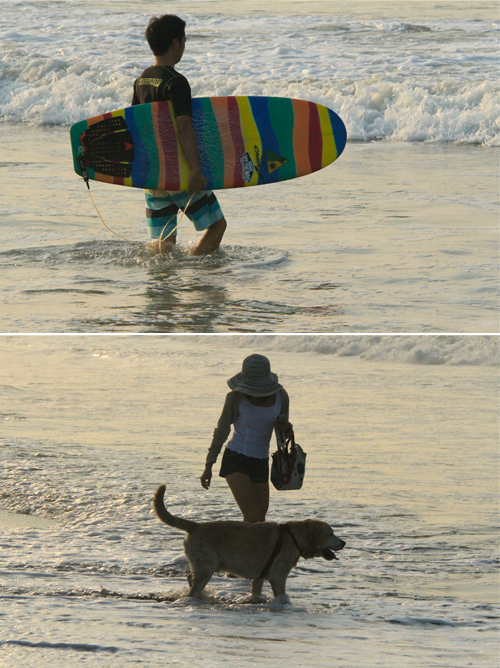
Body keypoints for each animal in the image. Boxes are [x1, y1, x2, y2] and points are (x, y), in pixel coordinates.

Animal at [154, 486, 346, 600]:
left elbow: (256, 589)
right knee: (194, 585)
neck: (294, 537)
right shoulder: (278, 577)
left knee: (189, 577)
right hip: (206, 567)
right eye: (331, 534)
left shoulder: (260, 575)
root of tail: (196, 526)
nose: (344, 543)